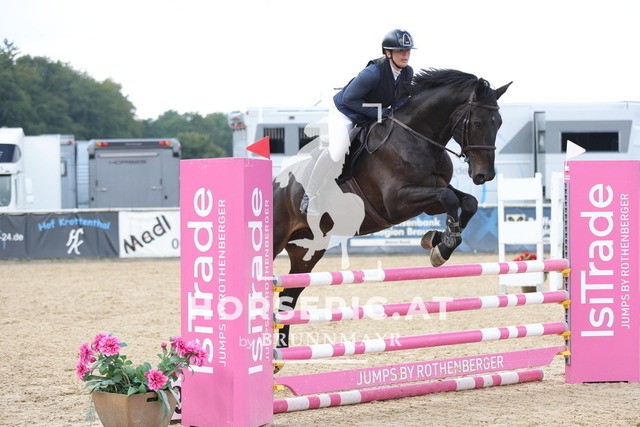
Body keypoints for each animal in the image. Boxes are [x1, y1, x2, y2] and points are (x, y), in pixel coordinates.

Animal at [273, 68, 511, 349]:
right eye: (477, 123)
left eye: (499, 123)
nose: (485, 175)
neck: (417, 138)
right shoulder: (396, 202)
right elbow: (449, 199)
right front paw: (442, 247)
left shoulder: (432, 198)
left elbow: (467, 202)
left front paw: (438, 240)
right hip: (277, 239)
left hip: (307, 250)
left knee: (290, 295)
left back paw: (281, 351)